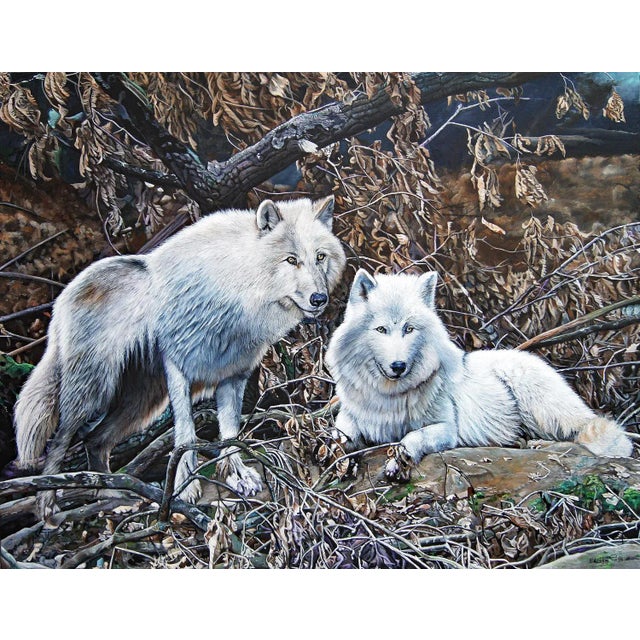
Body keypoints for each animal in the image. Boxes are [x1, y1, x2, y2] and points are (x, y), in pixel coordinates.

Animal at [14, 195, 346, 517]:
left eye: (320, 257)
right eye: (291, 259)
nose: (320, 299)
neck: (232, 294)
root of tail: (65, 294)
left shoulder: (233, 377)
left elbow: (230, 433)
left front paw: (236, 476)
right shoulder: (178, 370)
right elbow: (186, 436)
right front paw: (185, 488)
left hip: (142, 402)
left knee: (95, 441)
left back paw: (115, 495)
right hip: (94, 392)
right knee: (61, 439)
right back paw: (47, 505)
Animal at [326, 269, 633, 480]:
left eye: (409, 329)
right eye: (381, 330)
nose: (398, 366)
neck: (390, 395)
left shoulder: (447, 429)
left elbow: (411, 437)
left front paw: (398, 461)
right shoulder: (354, 415)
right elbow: (341, 431)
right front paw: (336, 456)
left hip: (541, 404)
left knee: (576, 432)